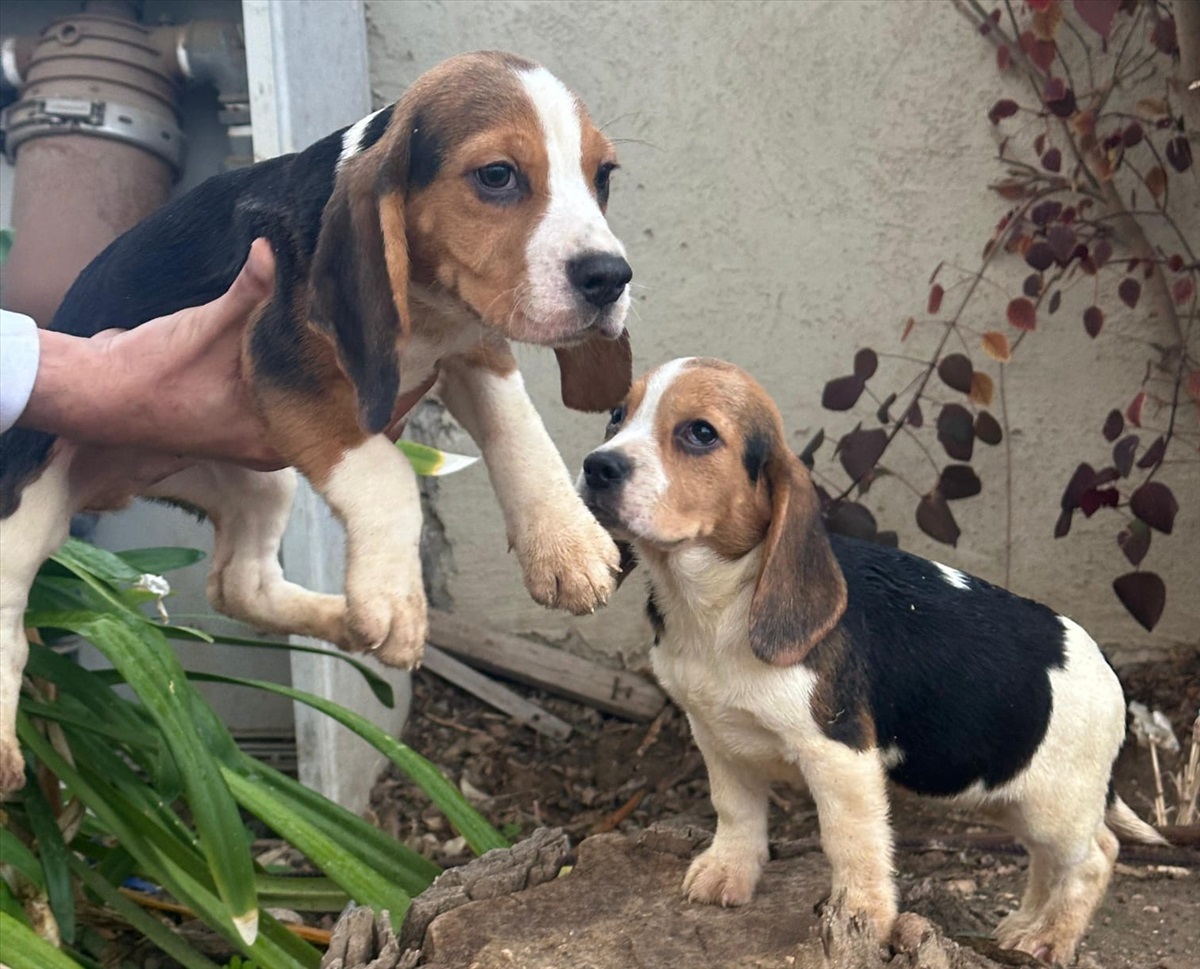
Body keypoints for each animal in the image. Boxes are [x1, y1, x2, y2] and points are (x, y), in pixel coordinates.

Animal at [0, 53, 638, 791]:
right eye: (497, 175)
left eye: (604, 176)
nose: (610, 277)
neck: (432, 311)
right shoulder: (282, 368)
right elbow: (390, 476)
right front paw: (394, 597)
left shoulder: (475, 349)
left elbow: (521, 430)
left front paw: (564, 543)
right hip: (31, 503)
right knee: (11, 613)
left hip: (258, 482)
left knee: (239, 585)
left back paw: (341, 620)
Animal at [576, 359, 1166, 964]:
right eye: (617, 415)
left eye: (700, 433)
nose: (597, 467)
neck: (717, 602)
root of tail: (1107, 672)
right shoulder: (717, 737)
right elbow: (735, 810)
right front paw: (727, 873)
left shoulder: (840, 757)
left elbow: (850, 844)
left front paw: (865, 919)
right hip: (1012, 797)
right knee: (1049, 862)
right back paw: (1024, 925)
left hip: (1057, 805)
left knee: (1095, 856)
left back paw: (1051, 936)